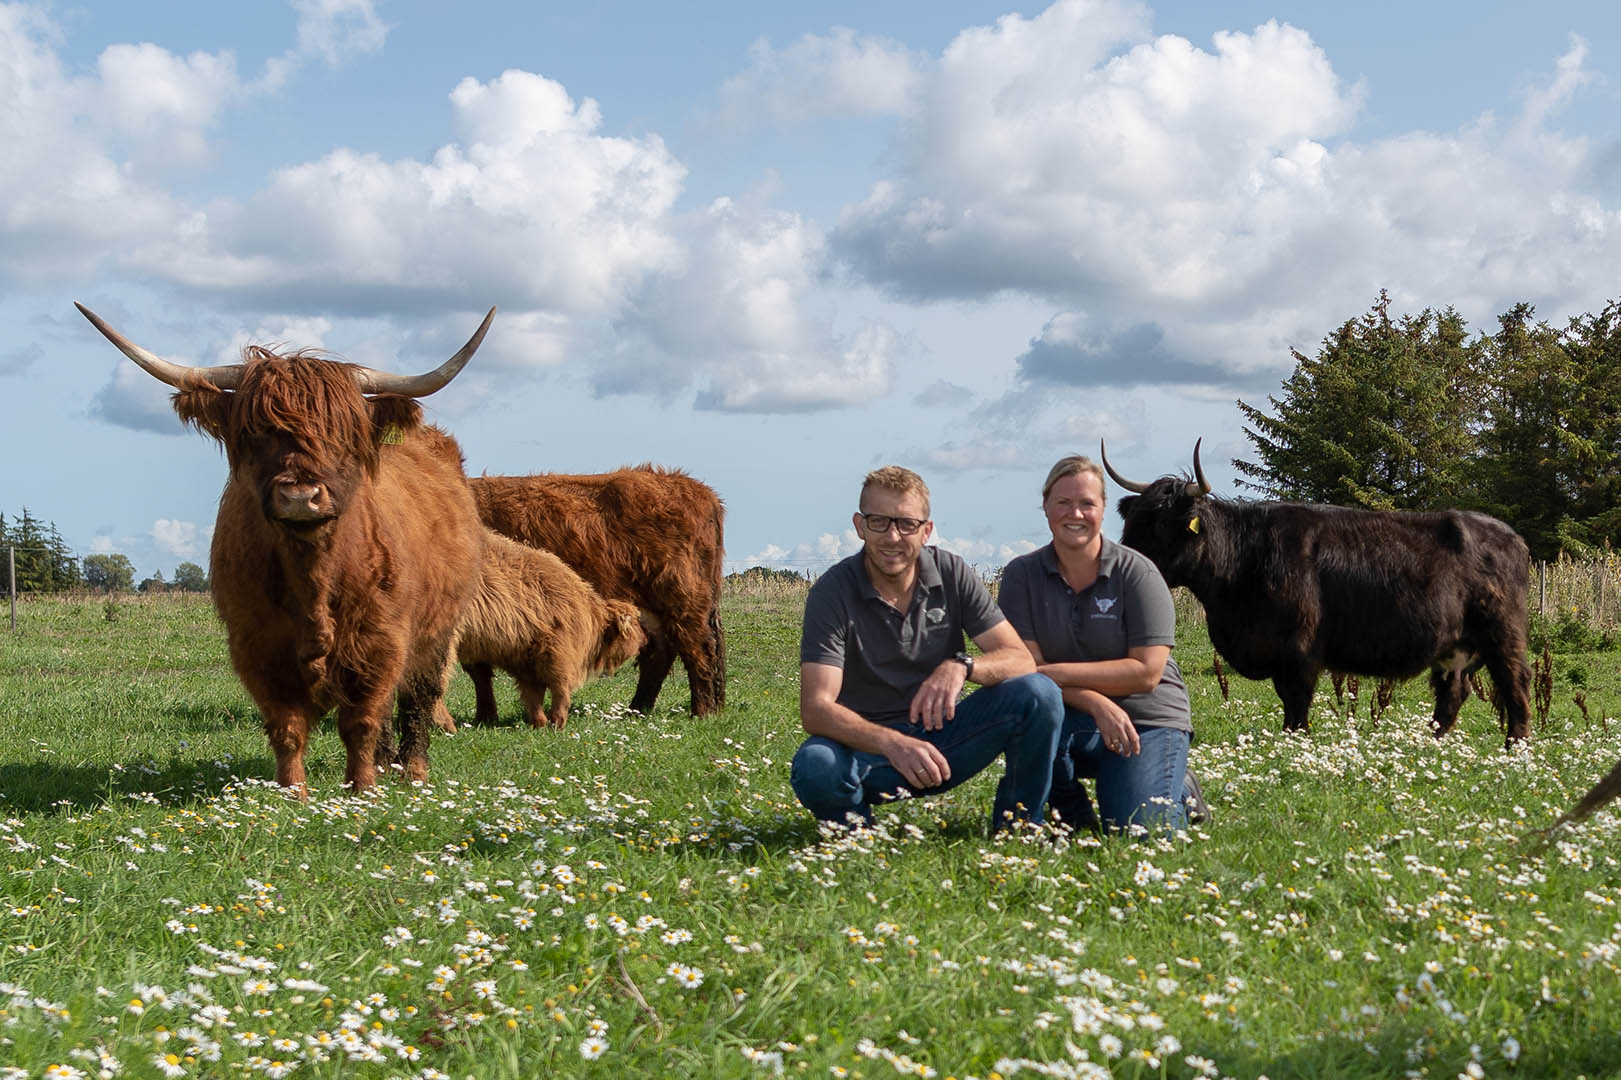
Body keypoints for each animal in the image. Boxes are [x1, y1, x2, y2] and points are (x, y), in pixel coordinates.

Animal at [77, 303, 492, 791]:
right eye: (255, 433)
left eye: (343, 433)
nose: (299, 495)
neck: (313, 572)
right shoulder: (256, 644)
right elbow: (287, 726)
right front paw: (294, 792)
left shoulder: (382, 640)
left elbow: (362, 720)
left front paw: (362, 788)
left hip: (438, 631)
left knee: (418, 698)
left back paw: (411, 770)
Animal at [444, 525, 651, 726]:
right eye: (636, 624)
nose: (646, 640)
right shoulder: (555, 651)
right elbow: (560, 689)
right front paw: (557, 723)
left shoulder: (526, 659)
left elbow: (533, 695)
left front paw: (539, 723)